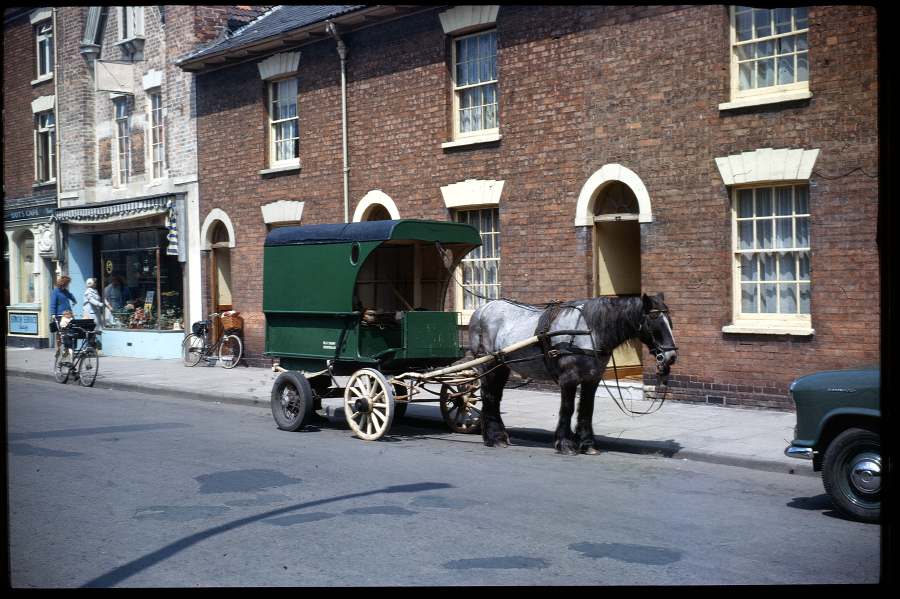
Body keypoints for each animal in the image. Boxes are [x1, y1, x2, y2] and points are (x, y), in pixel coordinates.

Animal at [472, 294, 676, 454]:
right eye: (654, 320)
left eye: (670, 321)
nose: (671, 356)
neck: (588, 331)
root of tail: (481, 310)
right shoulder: (568, 378)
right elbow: (567, 408)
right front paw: (565, 443)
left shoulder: (592, 379)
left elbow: (586, 409)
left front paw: (587, 443)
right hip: (488, 363)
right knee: (489, 396)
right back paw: (494, 438)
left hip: (501, 366)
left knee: (495, 398)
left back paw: (497, 435)